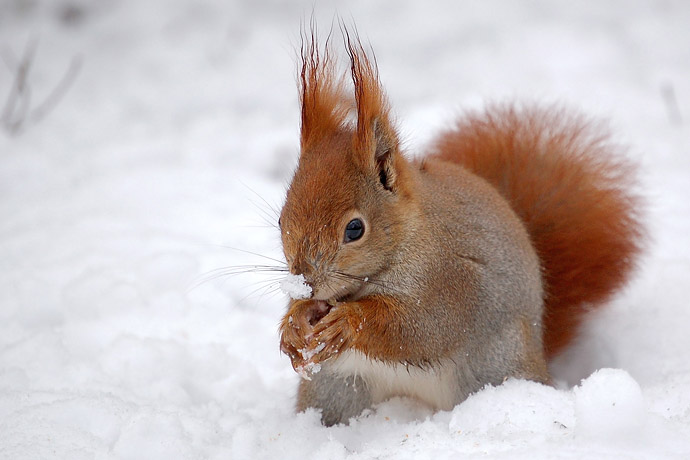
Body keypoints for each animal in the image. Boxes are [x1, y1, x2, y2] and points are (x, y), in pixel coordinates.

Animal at [276, 27, 644, 426]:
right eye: (281, 219)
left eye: (355, 229)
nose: (306, 282)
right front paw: (294, 324)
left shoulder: (448, 282)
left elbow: (418, 328)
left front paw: (348, 321)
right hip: (336, 389)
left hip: (494, 367)